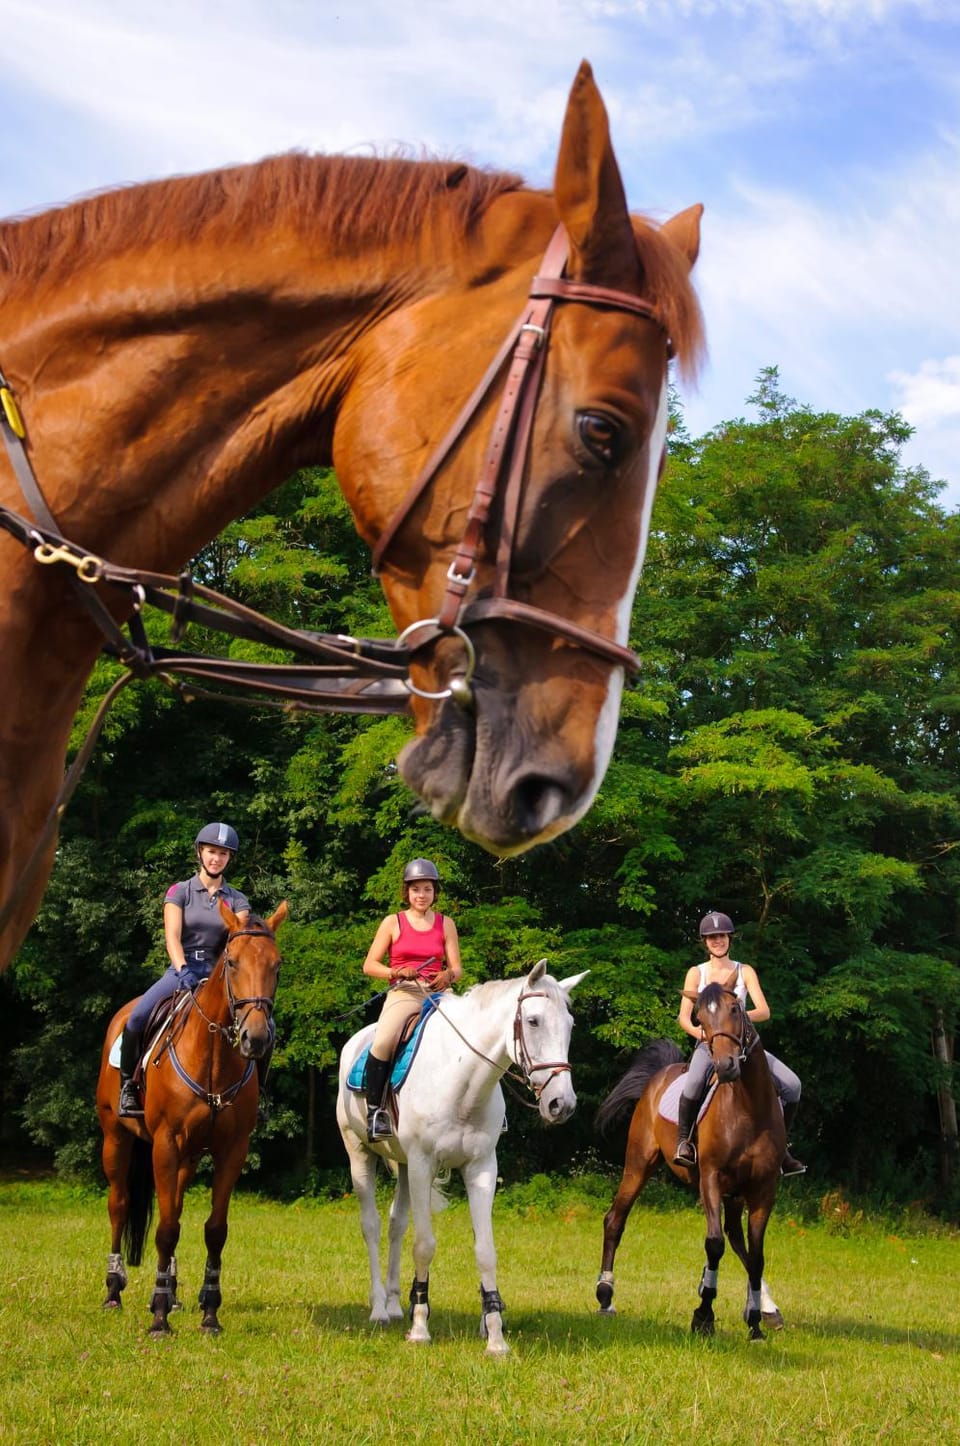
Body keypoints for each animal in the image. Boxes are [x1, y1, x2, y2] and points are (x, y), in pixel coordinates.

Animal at [96, 900, 286, 1335]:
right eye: (231, 962)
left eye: (277, 965)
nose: (256, 1038)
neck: (213, 1057)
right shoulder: (165, 1144)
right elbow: (165, 1230)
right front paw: (160, 1320)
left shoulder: (230, 1150)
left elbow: (213, 1230)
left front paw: (209, 1312)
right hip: (116, 1137)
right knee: (119, 1204)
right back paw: (114, 1290)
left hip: (189, 1157)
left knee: (177, 1206)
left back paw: (170, 1291)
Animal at [336, 959, 587, 1355]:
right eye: (533, 1021)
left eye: (570, 1025)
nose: (562, 1104)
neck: (462, 1081)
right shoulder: (422, 1164)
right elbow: (425, 1246)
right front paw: (420, 1328)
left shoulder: (480, 1168)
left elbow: (485, 1250)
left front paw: (495, 1336)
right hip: (360, 1154)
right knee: (372, 1226)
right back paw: (378, 1308)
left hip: (403, 1166)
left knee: (395, 1226)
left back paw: (393, 1304)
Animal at [594, 982, 786, 1340]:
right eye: (700, 1019)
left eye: (735, 1009)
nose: (725, 1065)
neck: (748, 1108)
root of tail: (658, 1076)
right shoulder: (710, 1178)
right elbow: (714, 1244)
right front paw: (704, 1315)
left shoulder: (763, 1190)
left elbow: (756, 1256)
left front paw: (755, 1322)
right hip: (638, 1164)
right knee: (615, 1219)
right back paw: (605, 1295)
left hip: (735, 1195)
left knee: (736, 1238)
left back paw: (765, 1309)